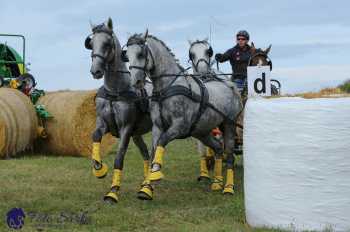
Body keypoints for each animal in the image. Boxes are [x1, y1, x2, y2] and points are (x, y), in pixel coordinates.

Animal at [84, 18, 152, 203]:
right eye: (91, 43)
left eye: (107, 44)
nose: (95, 71)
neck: (115, 91)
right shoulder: (103, 123)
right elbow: (95, 136)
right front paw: (99, 169)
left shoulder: (126, 129)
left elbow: (119, 158)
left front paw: (113, 191)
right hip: (137, 134)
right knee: (146, 153)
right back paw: (145, 182)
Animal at [123, 31, 243, 200]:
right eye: (127, 55)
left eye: (141, 54)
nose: (136, 81)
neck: (167, 88)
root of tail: (229, 86)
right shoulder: (158, 127)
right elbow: (154, 151)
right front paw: (146, 188)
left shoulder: (179, 126)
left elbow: (162, 142)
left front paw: (155, 175)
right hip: (202, 132)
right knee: (218, 148)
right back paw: (217, 182)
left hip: (229, 125)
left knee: (230, 154)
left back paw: (228, 187)